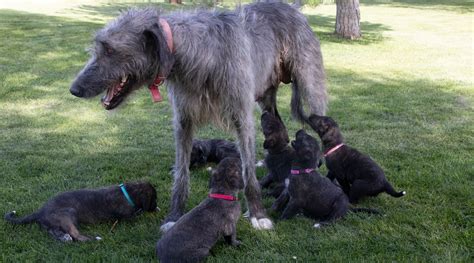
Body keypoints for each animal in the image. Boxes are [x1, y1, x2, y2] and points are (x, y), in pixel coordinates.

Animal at [4, 183, 157, 242]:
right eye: (154, 198)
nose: (156, 207)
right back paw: (94, 239)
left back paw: (64, 238)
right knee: (75, 235)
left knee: (54, 232)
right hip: (67, 215)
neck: (128, 192)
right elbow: (136, 214)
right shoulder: (127, 216)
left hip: (53, 222)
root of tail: (40, 210)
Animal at [70, 3, 328, 232]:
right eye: (99, 46)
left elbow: (249, 176)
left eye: (110, 50)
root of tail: (293, 8)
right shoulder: (183, 121)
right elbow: (182, 174)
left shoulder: (242, 117)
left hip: (311, 88)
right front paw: (174, 217)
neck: (192, 53)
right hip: (266, 99)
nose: (74, 89)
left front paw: (258, 215)